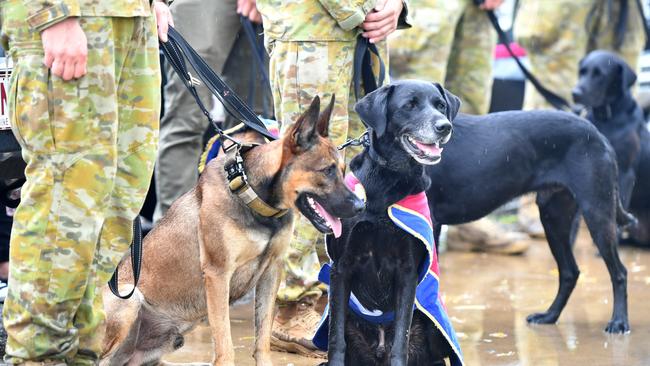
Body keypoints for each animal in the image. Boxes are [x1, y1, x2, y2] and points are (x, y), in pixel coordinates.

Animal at [100, 96, 364, 364]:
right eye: (327, 171)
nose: (361, 206)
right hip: (128, 300)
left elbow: (262, 339)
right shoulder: (218, 275)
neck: (255, 196)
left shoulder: (271, 272)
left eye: (343, 170)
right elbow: (225, 344)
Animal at [322, 81, 458, 366]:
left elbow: (401, 340)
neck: (390, 177)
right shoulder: (341, 267)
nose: (444, 127)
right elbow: (335, 338)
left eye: (441, 105)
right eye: (409, 105)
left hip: (433, 329)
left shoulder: (407, 271)